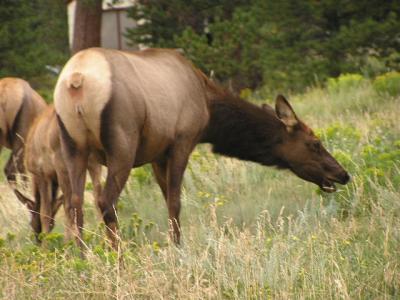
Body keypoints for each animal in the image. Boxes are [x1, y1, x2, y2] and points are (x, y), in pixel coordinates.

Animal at [24, 106, 102, 244]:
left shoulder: (42, 174)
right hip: (93, 162)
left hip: (63, 165)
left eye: (31, 223)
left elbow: (45, 212)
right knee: (97, 196)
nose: (37, 240)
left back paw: (70, 243)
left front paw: (46, 246)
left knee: (70, 207)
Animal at [54, 47, 350, 248]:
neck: (210, 108)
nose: (342, 174)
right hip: (122, 142)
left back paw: (83, 256)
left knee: (74, 204)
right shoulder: (182, 141)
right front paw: (177, 247)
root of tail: (76, 80)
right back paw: (118, 257)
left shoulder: (157, 155)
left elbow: (167, 198)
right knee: (106, 201)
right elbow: (175, 202)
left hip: (72, 145)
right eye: (315, 143)